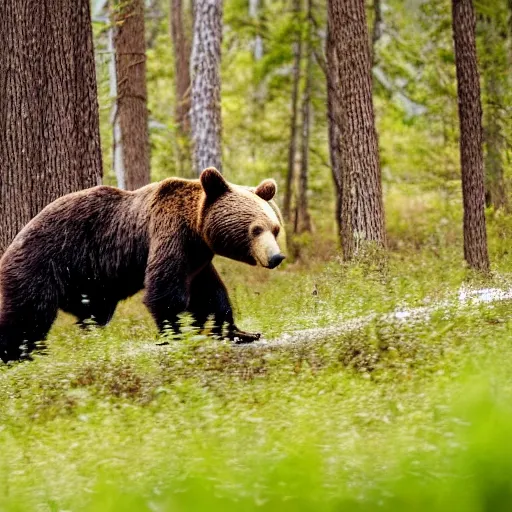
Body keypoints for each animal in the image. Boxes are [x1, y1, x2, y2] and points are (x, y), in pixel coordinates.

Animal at [0, 166, 284, 362]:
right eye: (255, 229)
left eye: (275, 228)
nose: (276, 257)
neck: (196, 229)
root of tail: (13, 240)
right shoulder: (169, 234)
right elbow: (165, 291)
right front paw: (174, 335)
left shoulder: (198, 260)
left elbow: (210, 295)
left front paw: (241, 332)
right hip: (43, 263)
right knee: (28, 314)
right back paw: (15, 355)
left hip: (86, 284)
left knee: (91, 313)